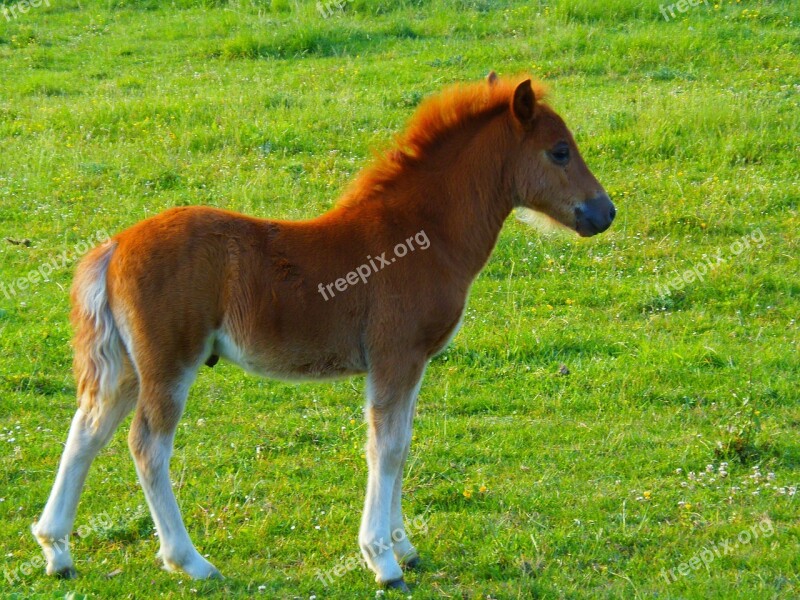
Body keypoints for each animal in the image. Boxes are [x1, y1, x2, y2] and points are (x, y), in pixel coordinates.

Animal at [31, 71, 616, 592]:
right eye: (560, 151)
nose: (604, 212)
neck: (420, 235)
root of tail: (114, 246)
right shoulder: (395, 358)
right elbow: (385, 447)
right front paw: (383, 562)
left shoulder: (412, 364)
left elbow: (403, 443)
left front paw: (405, 547)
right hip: (169, 362)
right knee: (147, 445)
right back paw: (190, 561)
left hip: (127, 367)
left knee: (86, 431)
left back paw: (57, 552)